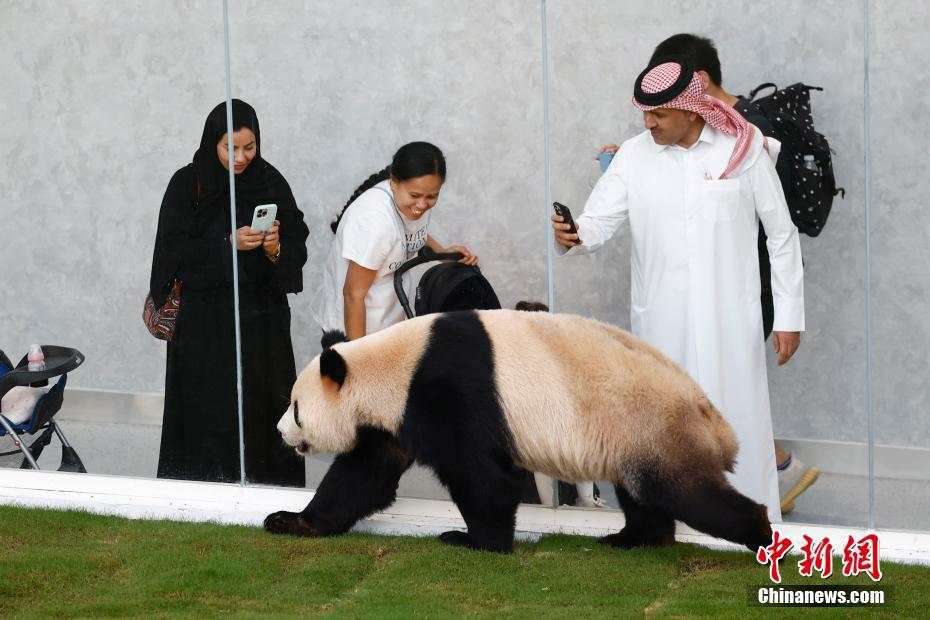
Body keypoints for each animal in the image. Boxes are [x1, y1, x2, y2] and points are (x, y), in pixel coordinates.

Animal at [264, 310, 772, 552]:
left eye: (295, 408)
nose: (279, 431)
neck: (394, 366)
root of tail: (714, 419)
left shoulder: (449, 390)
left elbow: (481, 476)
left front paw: (473, 541)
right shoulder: (393, 419)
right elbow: (363, 476)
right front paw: (290, 521)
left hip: (653, 422)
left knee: (686, 491)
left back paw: (762, 536)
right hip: (634, 435)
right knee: (644, 494)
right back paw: (632, 539)